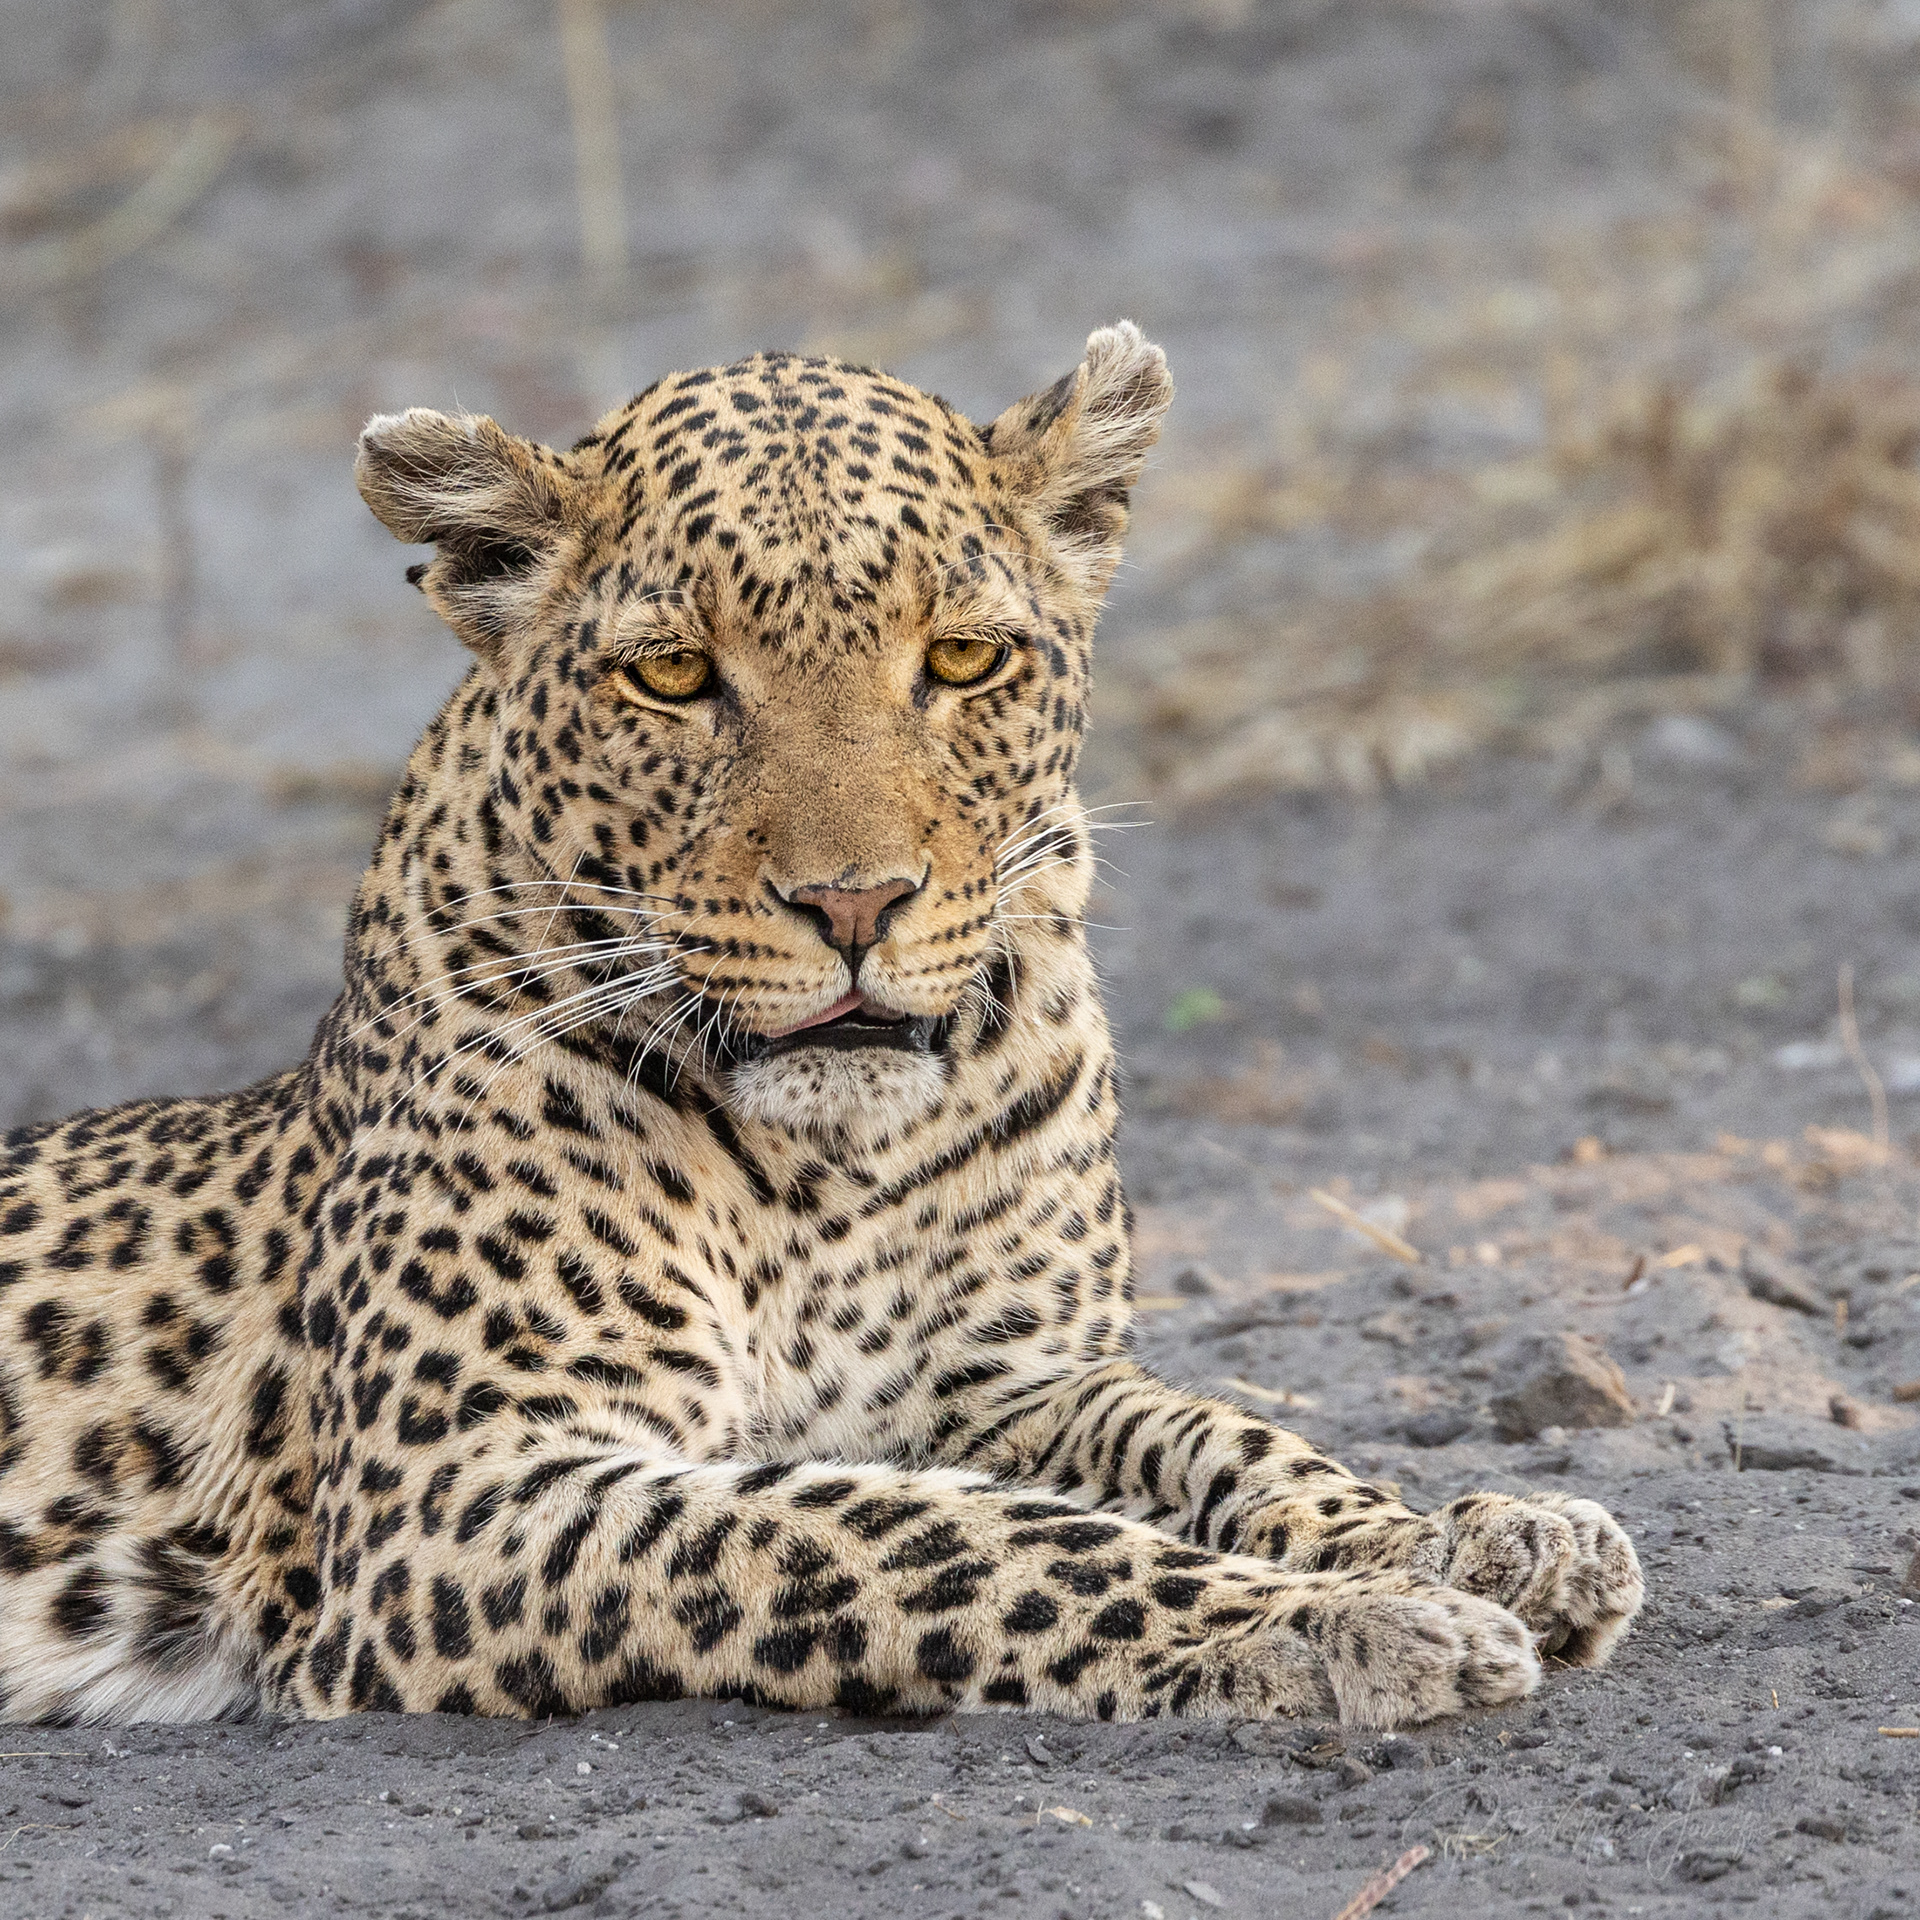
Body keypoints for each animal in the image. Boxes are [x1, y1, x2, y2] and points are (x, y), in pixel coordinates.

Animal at [0, 322, 1642, 1730]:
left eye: (965, 660)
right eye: (672, 675)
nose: (855, 905)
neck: (826, 1170)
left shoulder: (1006, 1381)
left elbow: (1224, 1434)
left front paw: (1471, 1540)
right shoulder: (466, 1492)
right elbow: (923, 1538)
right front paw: (1337, 1625)